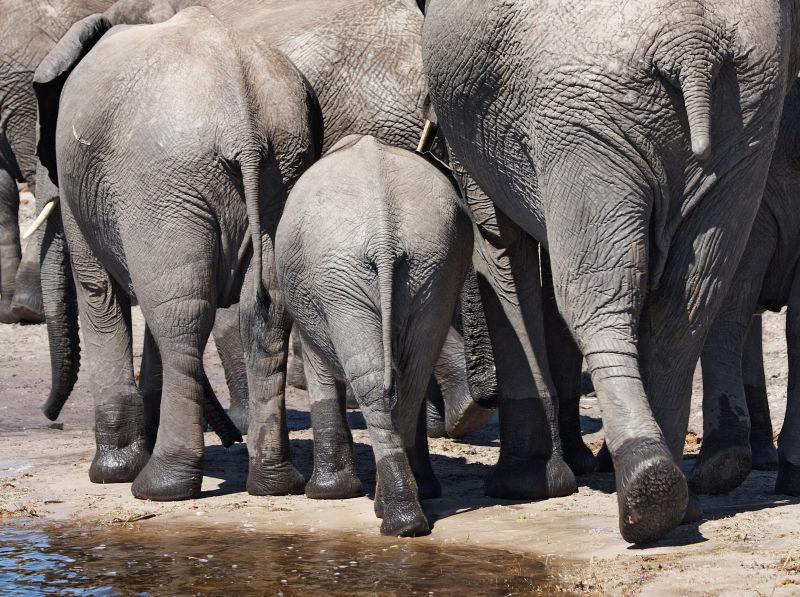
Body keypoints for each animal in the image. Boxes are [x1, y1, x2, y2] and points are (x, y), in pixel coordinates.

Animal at [276, 135, 472, 536]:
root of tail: (384, 234)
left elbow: (319, 368)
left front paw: (326, 495)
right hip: (432, 266)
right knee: (409, 380)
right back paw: (405, 517)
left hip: (340, 274)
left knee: (374, 383)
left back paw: (395, 519)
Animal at [422, 0, 796, 540]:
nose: (476, 404)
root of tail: (692, 43)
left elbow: (498, 241)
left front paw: (523, 487)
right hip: (744, 121)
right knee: (691, 300)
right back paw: (672, 501)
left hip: (583, 119)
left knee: (598, 293)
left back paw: (644, 493)